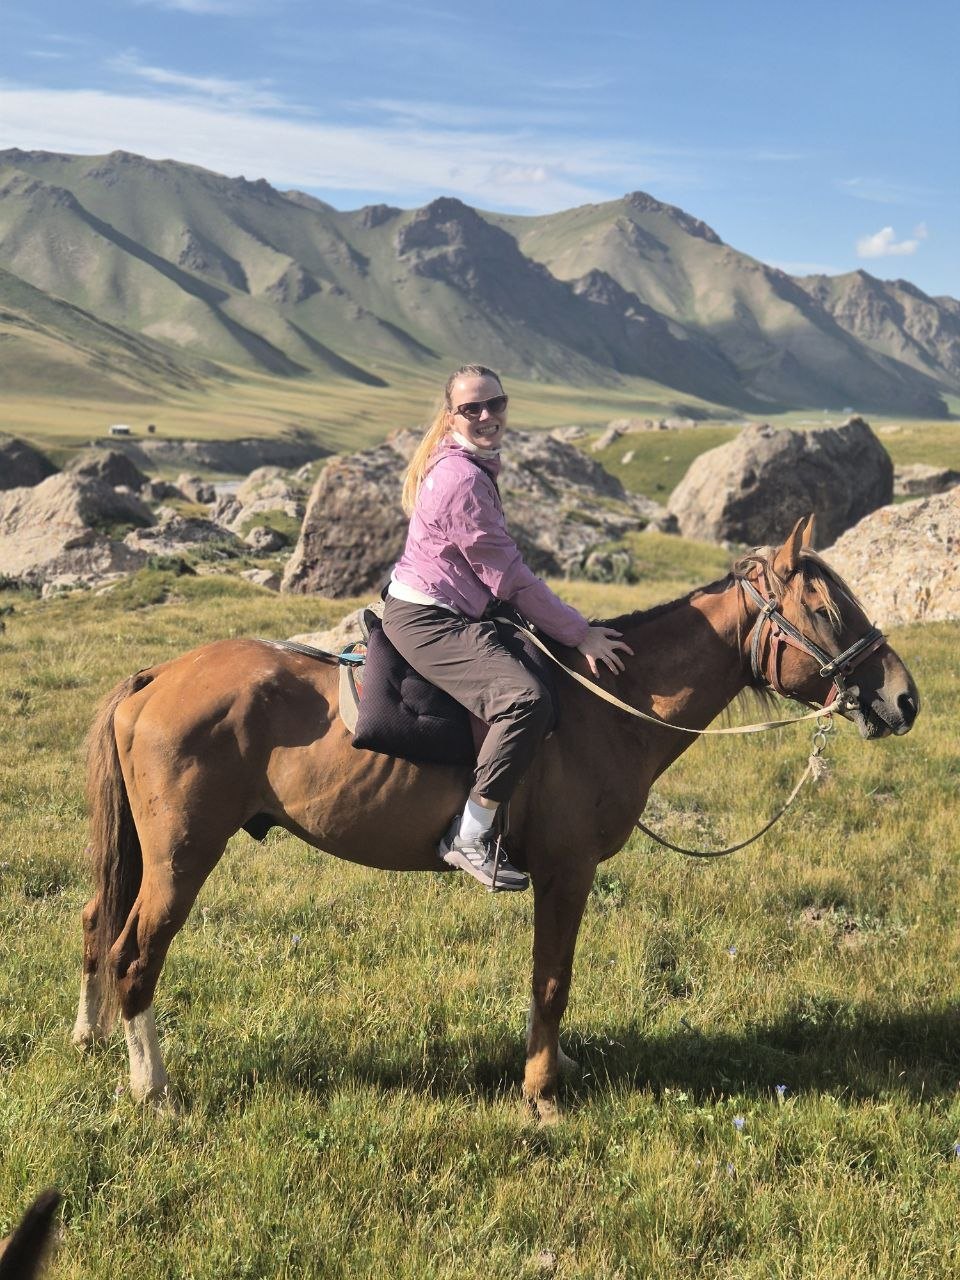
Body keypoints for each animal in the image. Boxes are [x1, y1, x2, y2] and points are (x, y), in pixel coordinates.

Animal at [71, 517, 919, 1120]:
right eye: (825, 608)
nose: (903, 697)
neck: (605, 705)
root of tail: (157, 676)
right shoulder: (566, 871)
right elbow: (553, 979)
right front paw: (542, 1091)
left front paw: (556, 1069)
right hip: (183, 855)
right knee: (135, 952)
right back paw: (155, 1091)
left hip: (149, 854)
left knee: (94, 921)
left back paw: (93, 1036)